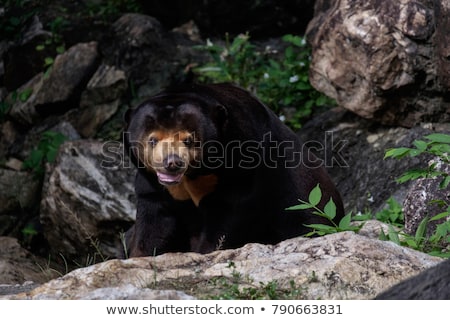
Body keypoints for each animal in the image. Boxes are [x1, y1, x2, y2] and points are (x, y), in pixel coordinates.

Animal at [123, 82, 344, 258]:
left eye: (189, 139)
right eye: (152, 139)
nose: (172, 162)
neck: (193, 176)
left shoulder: (243, 163)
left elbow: (229, 213)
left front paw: (206, 252)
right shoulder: (152, 185)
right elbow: (154, 223)